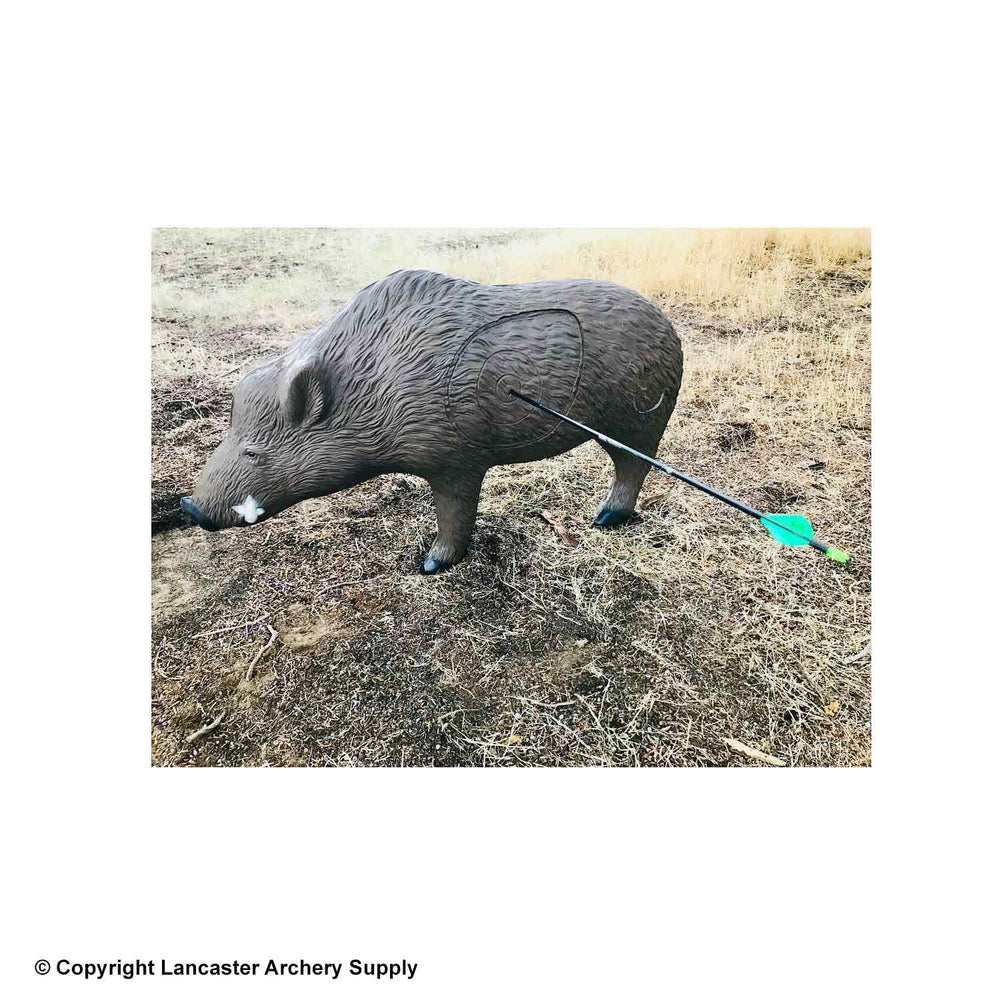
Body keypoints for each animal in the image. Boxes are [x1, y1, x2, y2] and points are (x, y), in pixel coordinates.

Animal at [181, 269, 683, 573]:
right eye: (229, 436)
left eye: (254, 451)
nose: (189, 507)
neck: (372, 382)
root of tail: (670, 328)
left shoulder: (455, 457)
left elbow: (454, 513)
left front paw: (429, 565)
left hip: (638, 418)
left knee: (637, 465)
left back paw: (604, 520)